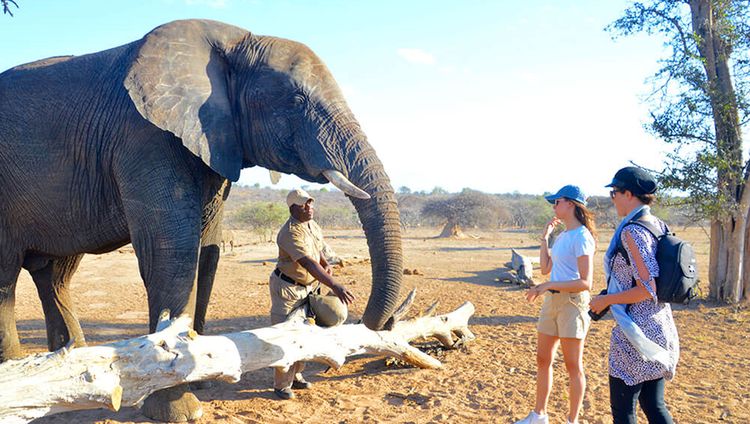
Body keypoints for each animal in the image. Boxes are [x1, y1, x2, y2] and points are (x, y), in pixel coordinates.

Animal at [0, 19, 402, 420]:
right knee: (8, 276)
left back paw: (71, 371)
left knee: (56, 275)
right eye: (296, 101)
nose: (370, 320)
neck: (235, 41)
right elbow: (172, 256)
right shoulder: (145, 139)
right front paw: (181, 408)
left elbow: (208, 255)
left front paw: (203, 380)